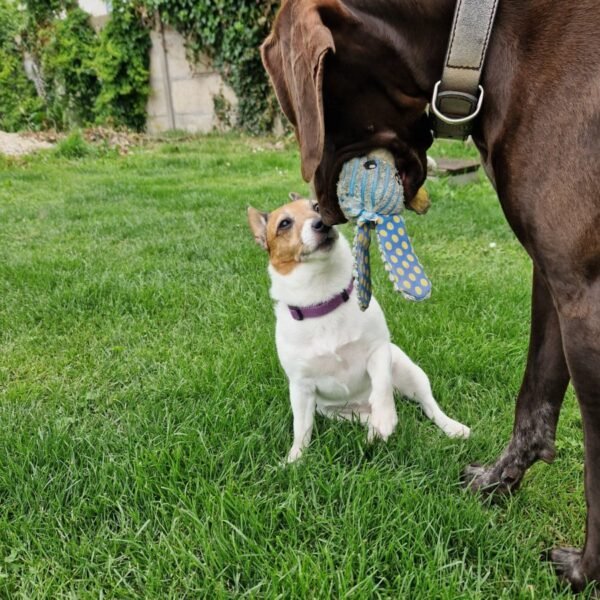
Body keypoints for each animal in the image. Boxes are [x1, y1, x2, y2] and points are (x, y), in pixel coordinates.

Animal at [247, 195, 468, 462]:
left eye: (317, 207)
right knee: (366, 419)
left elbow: (382, 386)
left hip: (411, 373)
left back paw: (450, 427)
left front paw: (385, 417)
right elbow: (301, 428)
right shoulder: (301, 387)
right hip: (337, 413)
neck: (323, 299)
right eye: (285, 223)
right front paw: (295, 459)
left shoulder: (378, 351)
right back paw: (374, 430)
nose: (322, 223)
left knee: (428, 406)